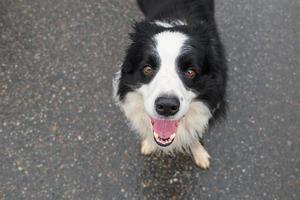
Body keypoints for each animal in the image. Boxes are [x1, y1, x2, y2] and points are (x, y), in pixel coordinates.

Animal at [113, 0, 226, 169]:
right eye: (147, 69)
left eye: (190, 72)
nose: (166, 106)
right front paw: (149, 144)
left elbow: (194, 133)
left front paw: (199, 153)